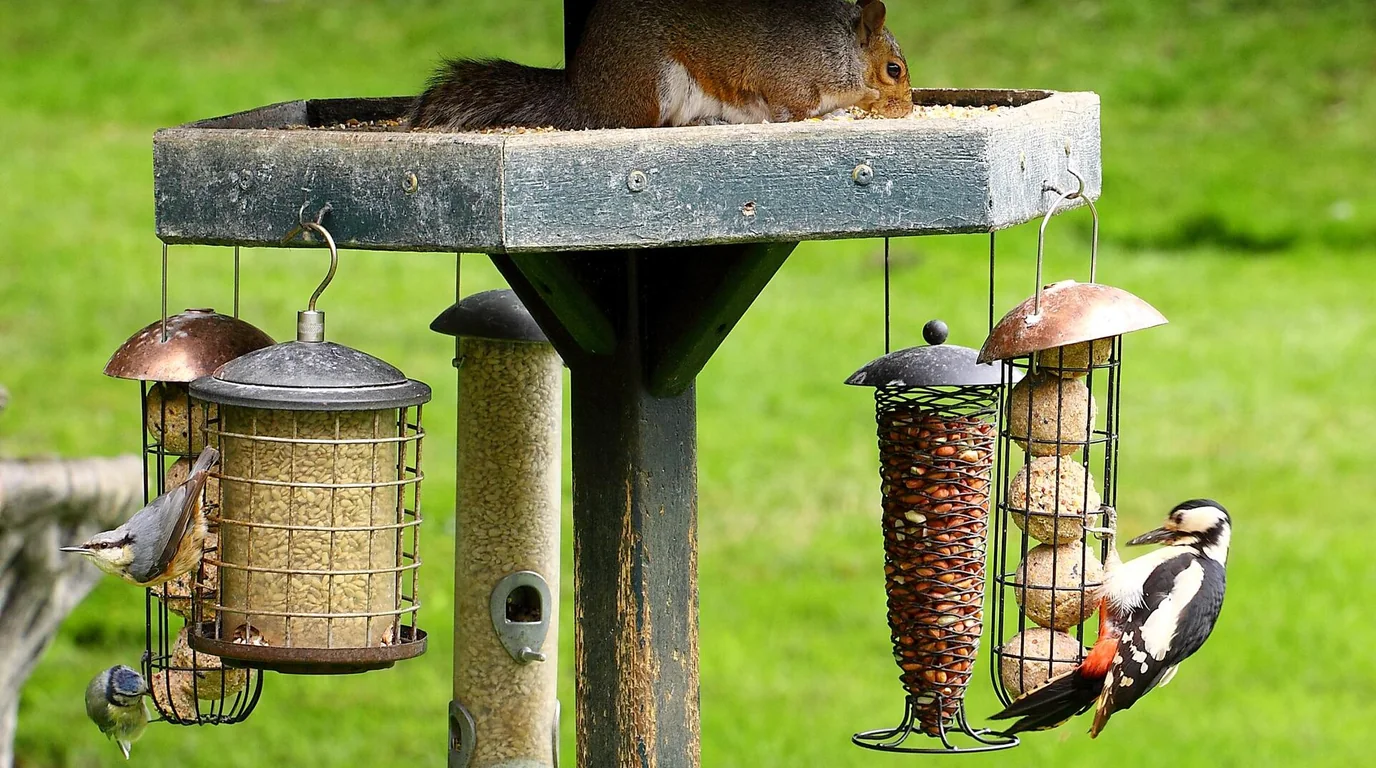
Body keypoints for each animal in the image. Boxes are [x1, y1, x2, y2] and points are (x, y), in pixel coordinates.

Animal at [410, 0, 912, 131]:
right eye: (894, 70)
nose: (907, 108)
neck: (837, 49)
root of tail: (584, 100)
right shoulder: (788, 80)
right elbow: (797, 111)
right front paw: (850, 107)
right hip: (656, 83)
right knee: (644, 124)